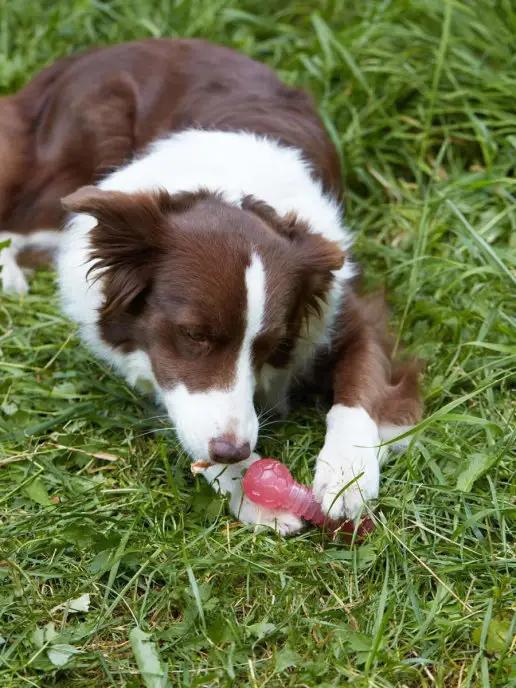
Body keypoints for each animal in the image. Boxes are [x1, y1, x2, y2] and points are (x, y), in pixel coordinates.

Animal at [1, 37, 424, 536]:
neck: (232, 190)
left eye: (271, 344)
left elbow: (360, 389)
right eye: (193, 335)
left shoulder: (343, 309)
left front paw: (347, 475)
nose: (234, 451)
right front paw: (251, 486)